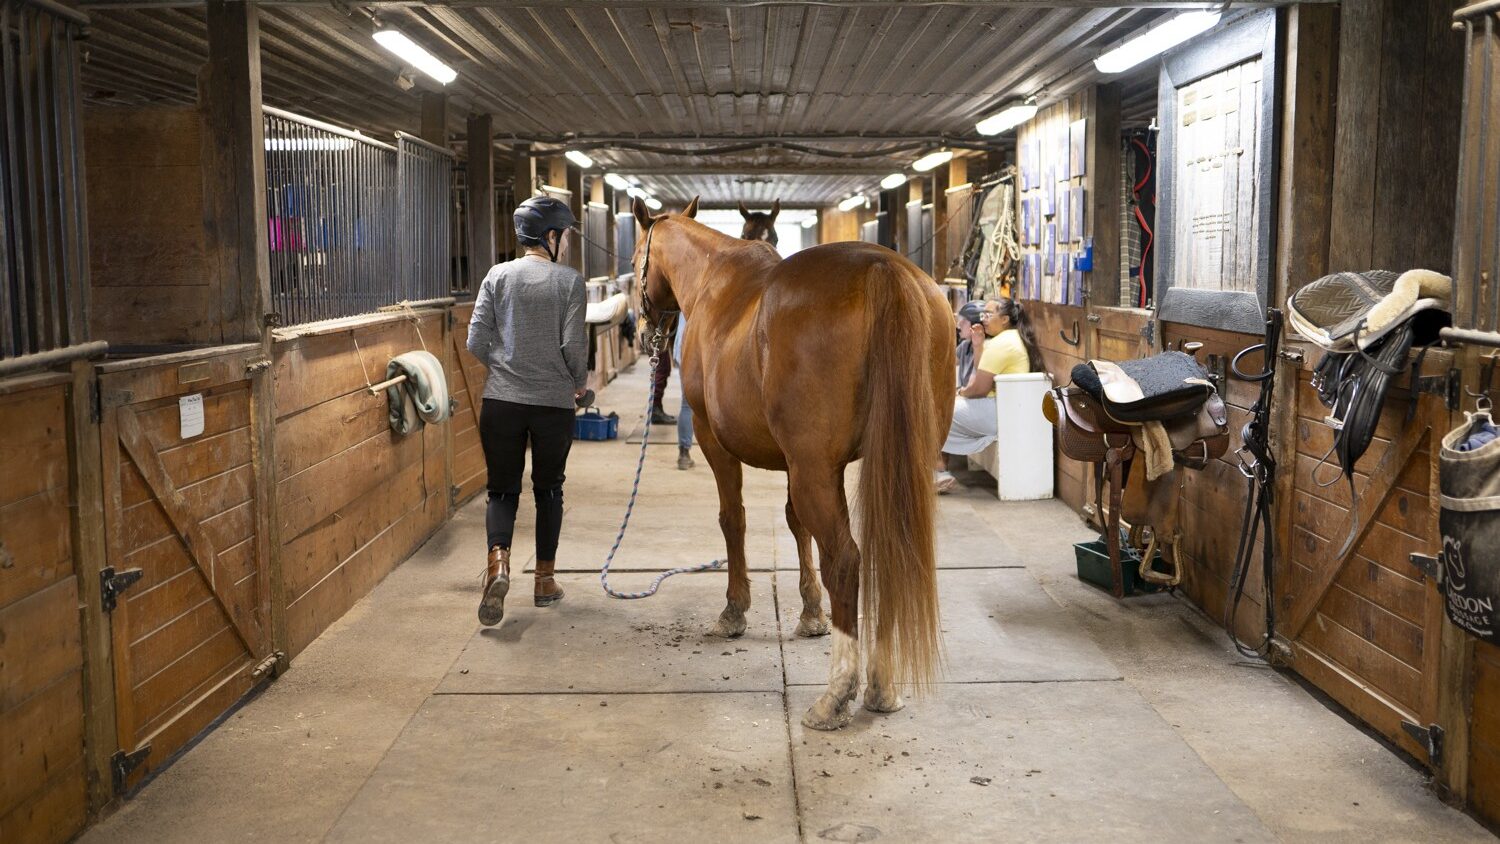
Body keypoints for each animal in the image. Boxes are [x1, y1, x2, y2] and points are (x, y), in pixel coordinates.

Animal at [633, 194, 948, 728]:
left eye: (637, 257)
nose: (643, 330)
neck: (714, 279)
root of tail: (883, 269)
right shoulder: (800, 461)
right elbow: (795, 523)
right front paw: (811, 614)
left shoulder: (716, 441)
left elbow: (733, 519)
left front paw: (734, 611)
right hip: (892, 468)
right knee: (889, 552)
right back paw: (882, 687)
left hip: (814, 471)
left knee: (846, 559)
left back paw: (836, 694)